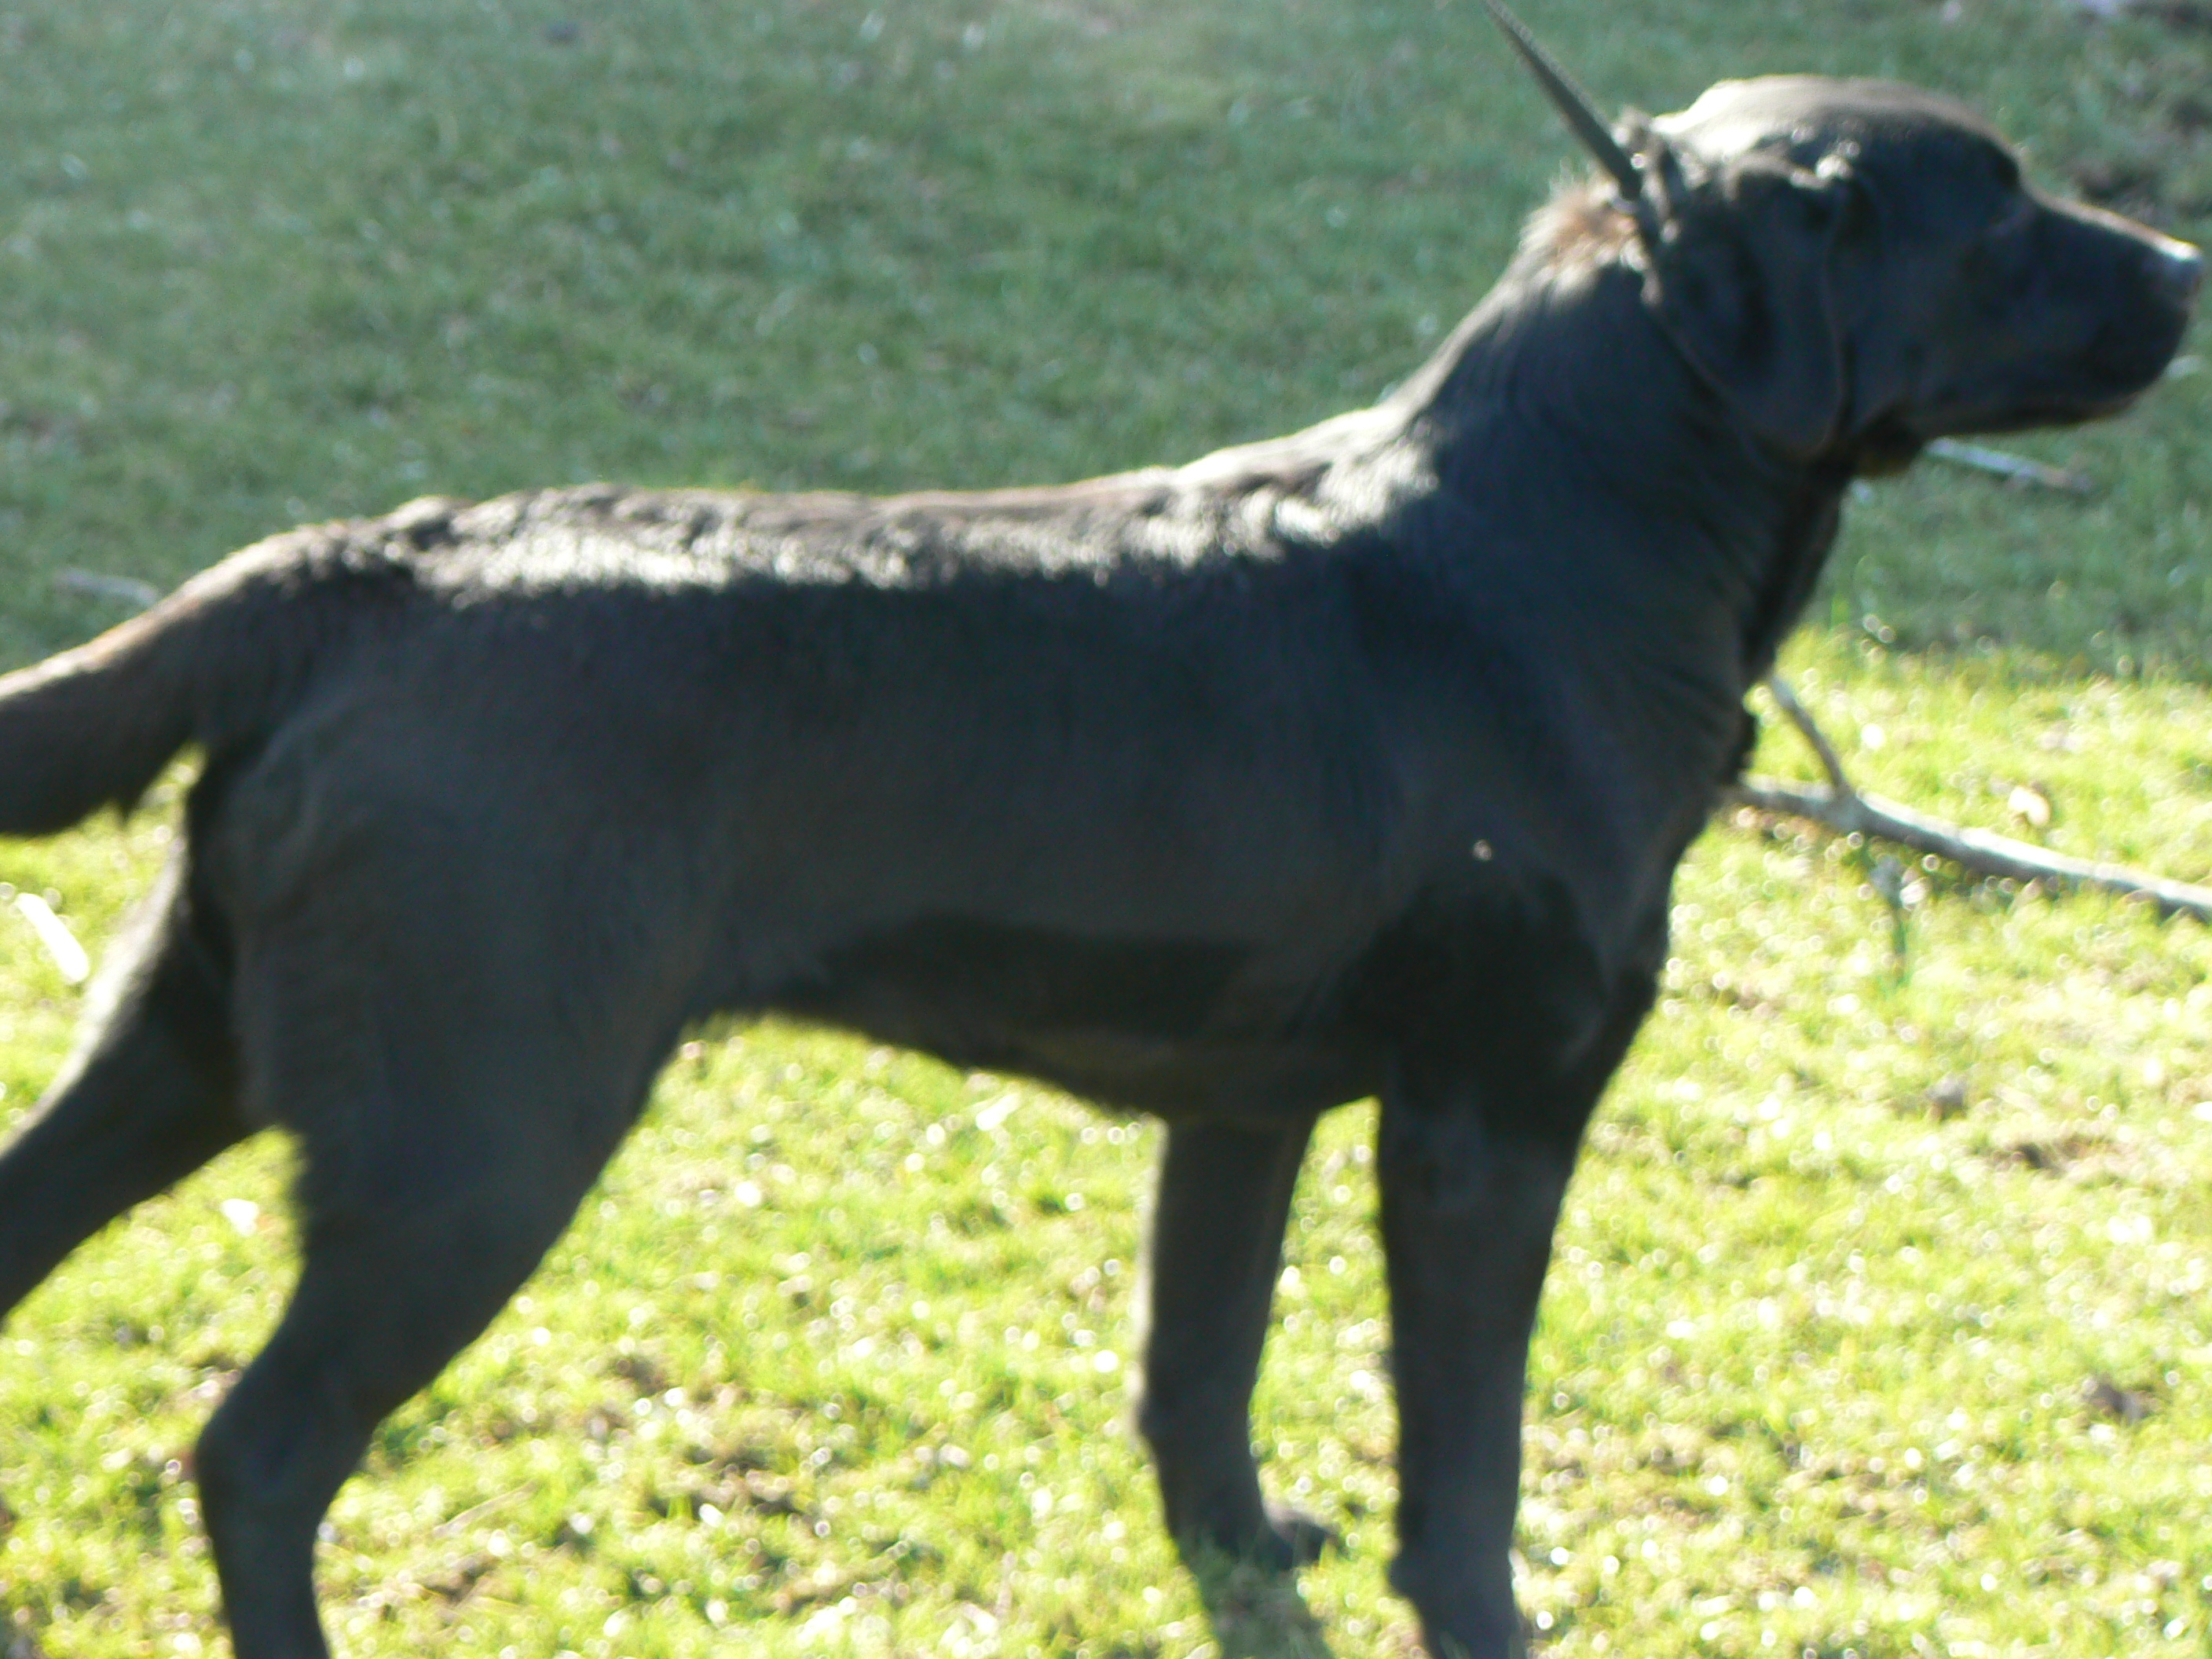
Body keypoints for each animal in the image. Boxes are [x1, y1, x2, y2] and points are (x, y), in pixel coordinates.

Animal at [0, 6, 2194, 1654]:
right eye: (2001, 209)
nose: (2186, 266)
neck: (1549, 543)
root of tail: (369, 564)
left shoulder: (1249, 1105)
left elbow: (1198, 1371)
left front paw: (1242, 1557)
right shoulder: (1487, 1121)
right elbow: (1465, 1467)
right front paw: (1480, 1623)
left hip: (186, 1045)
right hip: (474, 1140)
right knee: (256, 1453)